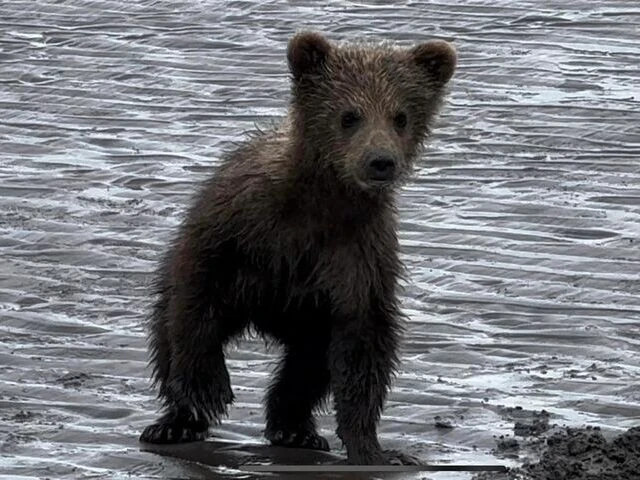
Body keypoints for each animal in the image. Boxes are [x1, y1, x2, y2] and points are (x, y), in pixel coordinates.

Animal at [139, 31, 456, 465]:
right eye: (349, 115)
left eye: (401, 116)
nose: (380, 161)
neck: (320, 204)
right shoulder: (237, 226)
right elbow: (196, 297)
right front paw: (207, 390)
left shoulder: (356, 257)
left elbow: (364, 343)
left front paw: (375, 448)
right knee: (166, 331)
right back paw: (174, 423)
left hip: (308, 319)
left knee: (307, 366)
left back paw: (295, 429)